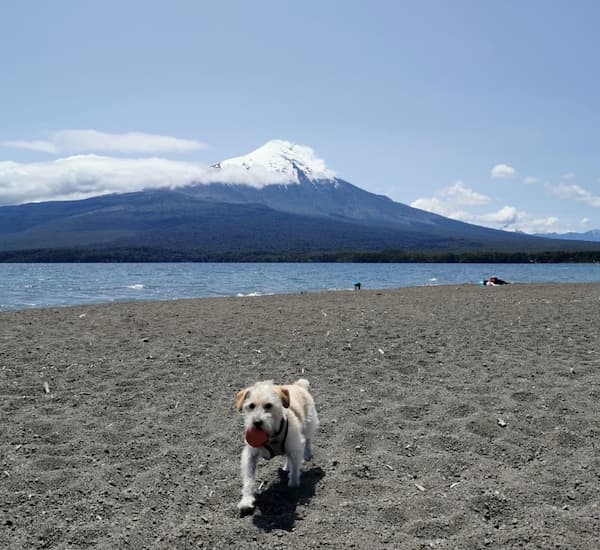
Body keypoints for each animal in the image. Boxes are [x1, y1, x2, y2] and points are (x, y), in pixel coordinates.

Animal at [234, 380, 318, 512]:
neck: (270, 434)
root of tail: (298, 385)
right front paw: (246, 500)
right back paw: (286, 466)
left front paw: (293, 485)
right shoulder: (250, 455)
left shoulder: (295, 448)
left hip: (309, 422)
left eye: (268, 405)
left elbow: (295, 469)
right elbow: (249, 478)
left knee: (308, 438)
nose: (256, 422)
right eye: (251, 406)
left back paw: (308, 453)